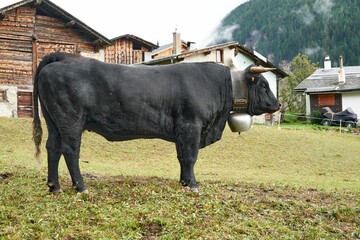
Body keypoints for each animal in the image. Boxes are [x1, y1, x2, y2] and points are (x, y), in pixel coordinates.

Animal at [32, 53, 280, 193]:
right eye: (264, 84)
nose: (277, 105)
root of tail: (64, 58)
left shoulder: (182, 131)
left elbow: (182, 157)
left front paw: (184, 182)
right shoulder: (191, 126)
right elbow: (190, 157)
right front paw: (193, 186)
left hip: (54, 122)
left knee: (52, 148)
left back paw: (54, 187)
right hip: (71, 120)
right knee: (70, 151)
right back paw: (80, 188)